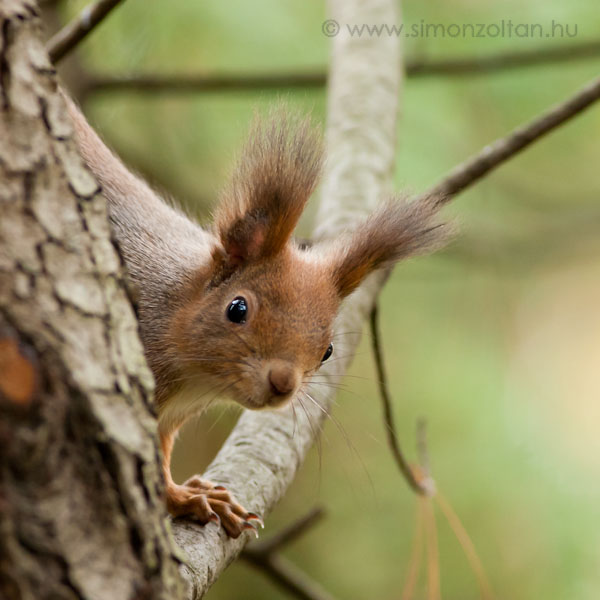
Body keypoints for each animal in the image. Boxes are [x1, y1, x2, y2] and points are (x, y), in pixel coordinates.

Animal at [67, 96, 446, 536]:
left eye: (328, 351)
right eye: (237, 308)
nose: (283, 382)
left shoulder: (166, 420)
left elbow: (158, 466)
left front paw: (187, 497)